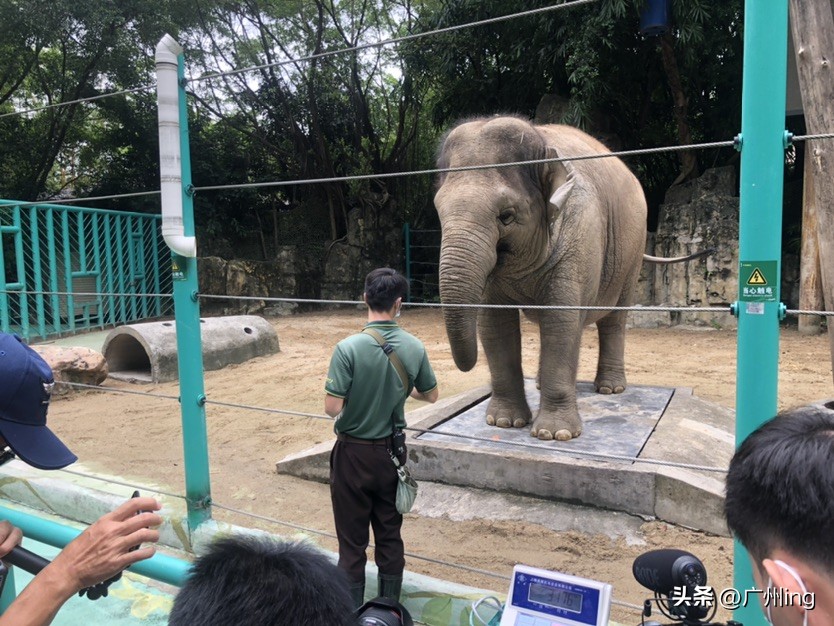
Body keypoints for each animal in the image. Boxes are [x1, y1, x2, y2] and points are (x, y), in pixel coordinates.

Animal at [434, 116, 702, 442]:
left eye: (506, 216)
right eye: (438, 211)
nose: (466, 366)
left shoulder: (579, 233)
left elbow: (561, 320)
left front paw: (554, 435)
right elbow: (494, 323)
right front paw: (504, 423)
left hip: (632, 251)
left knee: (614, 318)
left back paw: (610, 389)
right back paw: (540, 384)